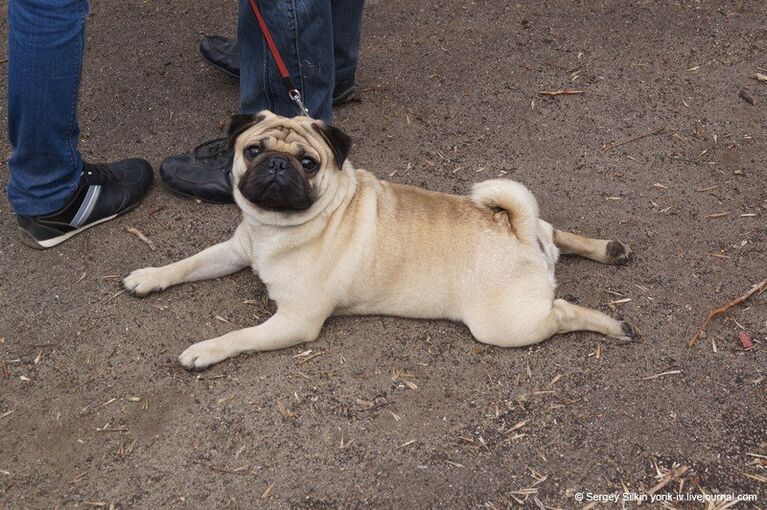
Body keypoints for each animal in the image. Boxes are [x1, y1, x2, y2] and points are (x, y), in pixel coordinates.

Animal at [123, 111, 636, 368]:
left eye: (308, 163)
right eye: (253, 150)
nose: (277, 165)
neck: (275, 227)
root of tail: (516, 229)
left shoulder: (295, 320)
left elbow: (239, 336)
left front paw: (205, 350)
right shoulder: (234, 250)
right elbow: (188, 262)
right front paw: (149, 276)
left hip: (503, 324)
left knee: (563, 311)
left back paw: (614, 325)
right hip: (535, 246)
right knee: (556, 233)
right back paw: (610, 250)